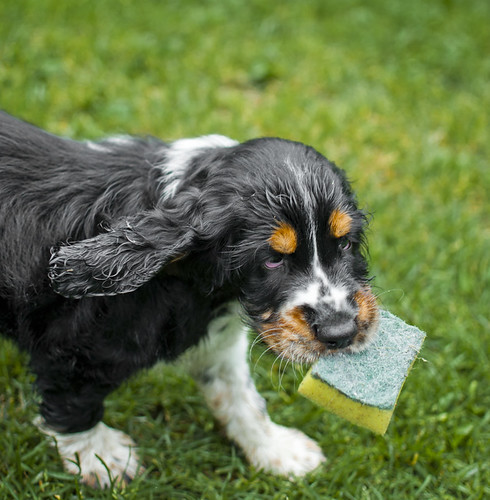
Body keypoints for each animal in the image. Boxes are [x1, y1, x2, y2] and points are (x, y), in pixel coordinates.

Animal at [0, 111, 378, 486]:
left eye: (345, 243)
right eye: (272, 260)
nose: (341, 333)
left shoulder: (217, 344)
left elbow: (240, 394)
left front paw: (278, 451)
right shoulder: (73, 351)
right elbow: (72, 404)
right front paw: (103, 460)